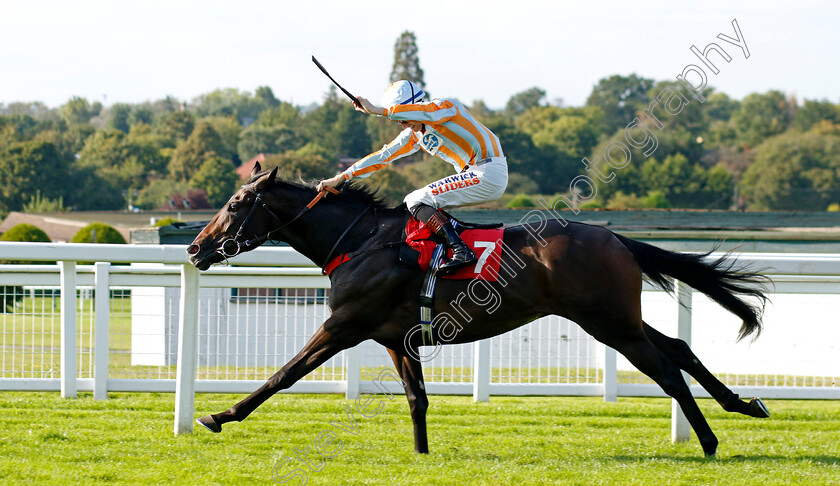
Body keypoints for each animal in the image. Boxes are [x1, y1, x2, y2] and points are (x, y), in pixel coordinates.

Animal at [187, 164, 772, 460]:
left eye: (236, 204)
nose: (195, 248)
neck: (360, 243)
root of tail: (617, 239)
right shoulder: (397, 339)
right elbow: (417, 399)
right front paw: (422, 455)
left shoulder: (343, 325)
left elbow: (284, 374)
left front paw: (219, 414)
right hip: (619, 318)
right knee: (679, 348)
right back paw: (744, 405)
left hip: (609, 323)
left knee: (668, 369)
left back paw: (710, 442)